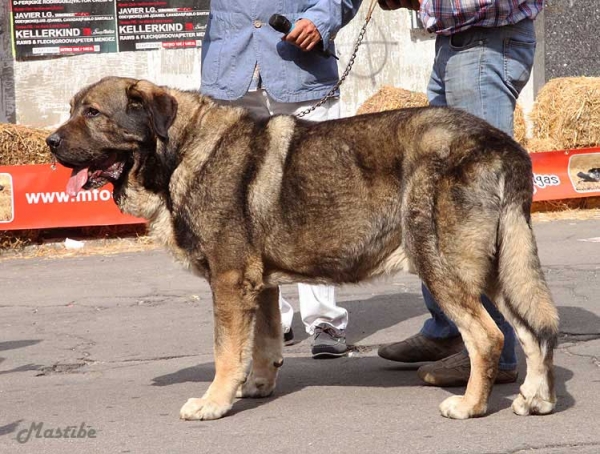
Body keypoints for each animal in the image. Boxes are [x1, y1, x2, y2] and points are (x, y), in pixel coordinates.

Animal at [47, 77, 556, 422]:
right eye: (73, 109)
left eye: (92, 113)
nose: (50, 142)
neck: (180, 151)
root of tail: (501, 144)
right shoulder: (260, 285)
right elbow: (263, 342)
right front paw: (256, 385)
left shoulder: (229, 281)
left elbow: (225, 351)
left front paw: (213, 402)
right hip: (498, 269)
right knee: (533, 332)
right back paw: (535, 399)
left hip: (440, 265)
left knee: (487, 337)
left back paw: (470, 405)